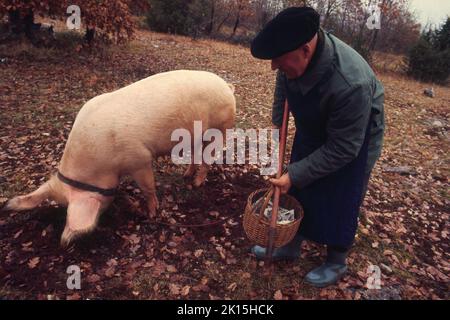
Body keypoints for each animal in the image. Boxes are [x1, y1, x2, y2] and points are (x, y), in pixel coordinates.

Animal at [1, 69, 236, 245]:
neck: (101, 165)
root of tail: (227, 87)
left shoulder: (140, 159)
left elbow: (148, 187)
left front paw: (151, 213)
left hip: (219, 129)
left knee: (209, 157)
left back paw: (196, 183)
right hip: (194, 135)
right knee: (196, 154)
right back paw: (185, 176)